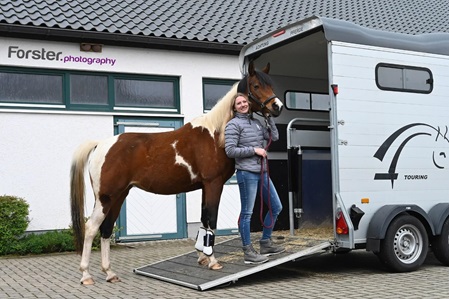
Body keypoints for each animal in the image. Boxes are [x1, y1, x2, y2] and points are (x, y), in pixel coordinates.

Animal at [68, 62, 282, 284]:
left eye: (269, 84)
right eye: (256, 85)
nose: (277, 106)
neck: (215, 134)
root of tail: (101, 144)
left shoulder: (205, 186)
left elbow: (204, 220)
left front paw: (202, 258)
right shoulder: (214, 184)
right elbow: (211, 219)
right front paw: (212, 261)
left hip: (118, 196)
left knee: (106, 229)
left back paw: (109, 273)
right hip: (106, 198)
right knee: (91, 228)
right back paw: (86, 275)